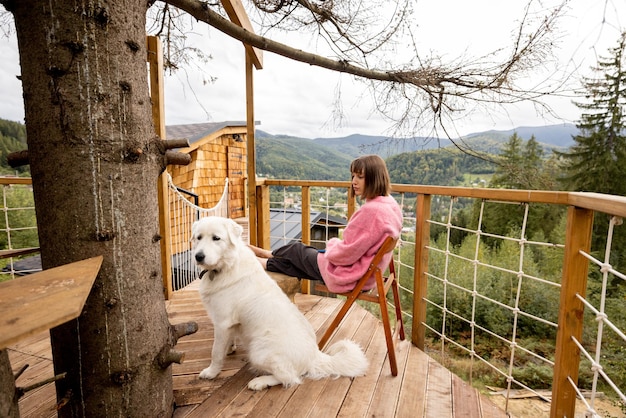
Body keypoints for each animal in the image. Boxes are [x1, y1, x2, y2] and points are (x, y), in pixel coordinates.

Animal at [190, 217, 366, 390]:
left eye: (216, 238)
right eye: (198, 237)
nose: (198, 256)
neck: (227, 266)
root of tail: (314, 356)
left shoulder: (222, 322)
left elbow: (216, 352)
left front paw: (211, 372)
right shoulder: (228, 323)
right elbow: (226, 342)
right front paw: (229, 348)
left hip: (259, 350)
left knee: (289, 378)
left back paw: (259, 382)